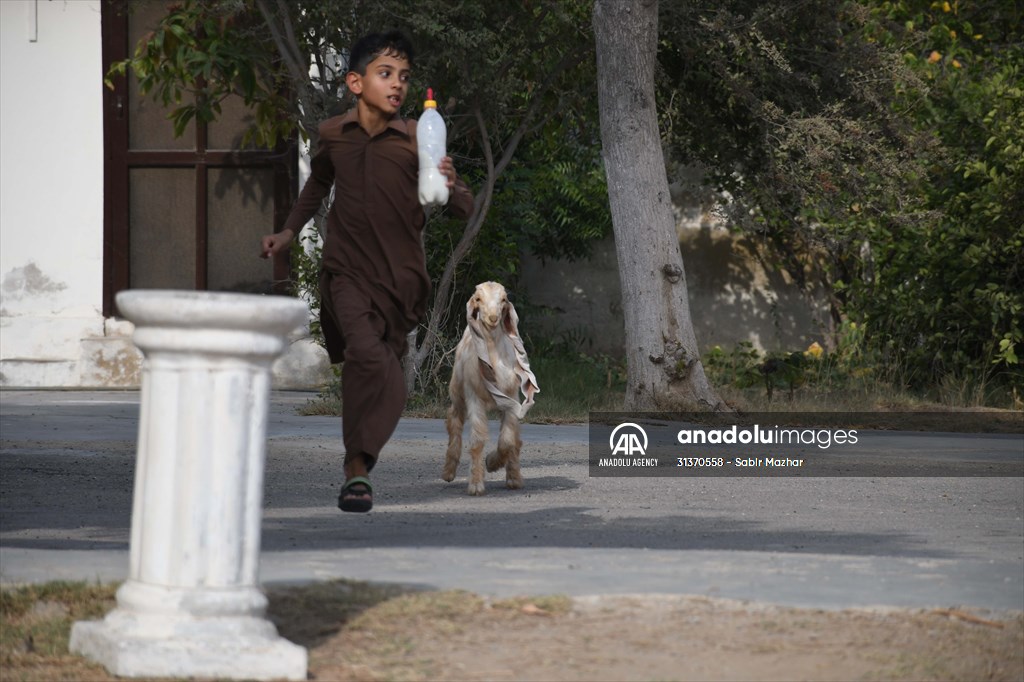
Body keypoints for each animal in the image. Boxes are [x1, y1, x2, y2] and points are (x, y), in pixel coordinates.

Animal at [444, 280, 540, 493]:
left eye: (503, 299)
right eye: (478, 299)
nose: (493, 318)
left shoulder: (512, 398)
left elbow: (508, 441)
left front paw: (492, 463)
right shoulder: (474, 398)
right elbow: (477, 440)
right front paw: (476, 485)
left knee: (516, 440)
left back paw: (514, 479)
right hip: (457, 392)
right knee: (454, 419)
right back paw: (448, 471)